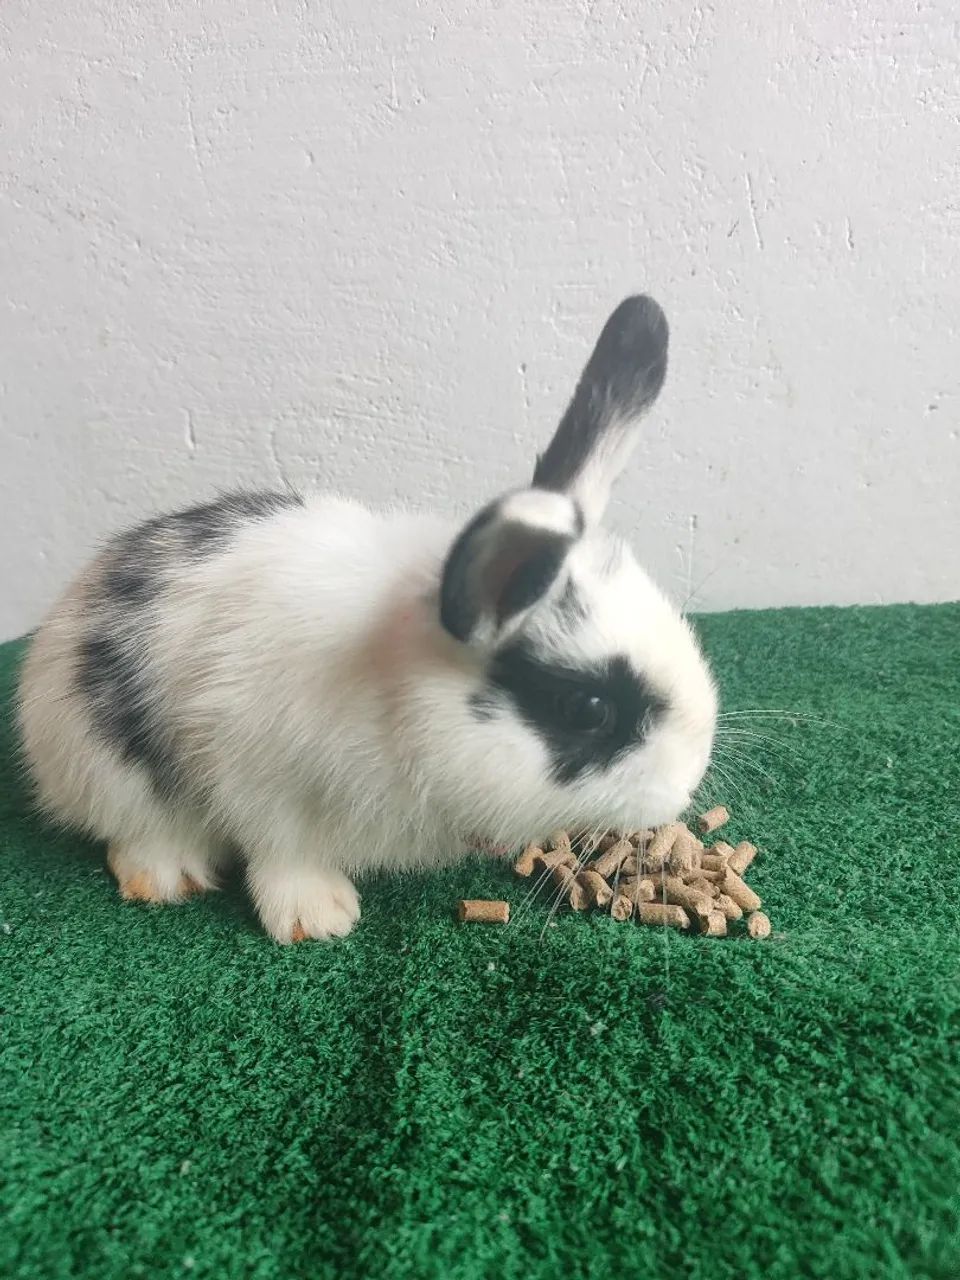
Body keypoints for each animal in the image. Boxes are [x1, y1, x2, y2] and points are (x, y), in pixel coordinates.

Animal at [17, 295, 717, 942]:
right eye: (588, 710)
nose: (686, 784)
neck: (390, 688)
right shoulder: (258, 779)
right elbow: (282, 852)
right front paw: (318, 918)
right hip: (104, 768)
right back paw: (167, 877)